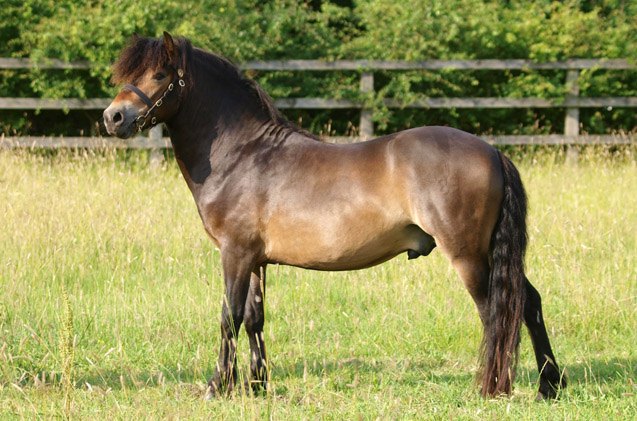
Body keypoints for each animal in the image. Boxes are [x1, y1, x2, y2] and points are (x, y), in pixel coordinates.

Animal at [105, 32, 568, 398]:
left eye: (159, 75)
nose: (113, 117)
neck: (243, 154)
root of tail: (491, 150)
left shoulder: (234, 254)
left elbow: (229, 317)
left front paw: (218, 386)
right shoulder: (256, 259)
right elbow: (254, 318)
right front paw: (257, 386)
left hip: (469, 254)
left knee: (495, 311)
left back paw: (493, 386)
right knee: (528, 302)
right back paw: (550, 385)